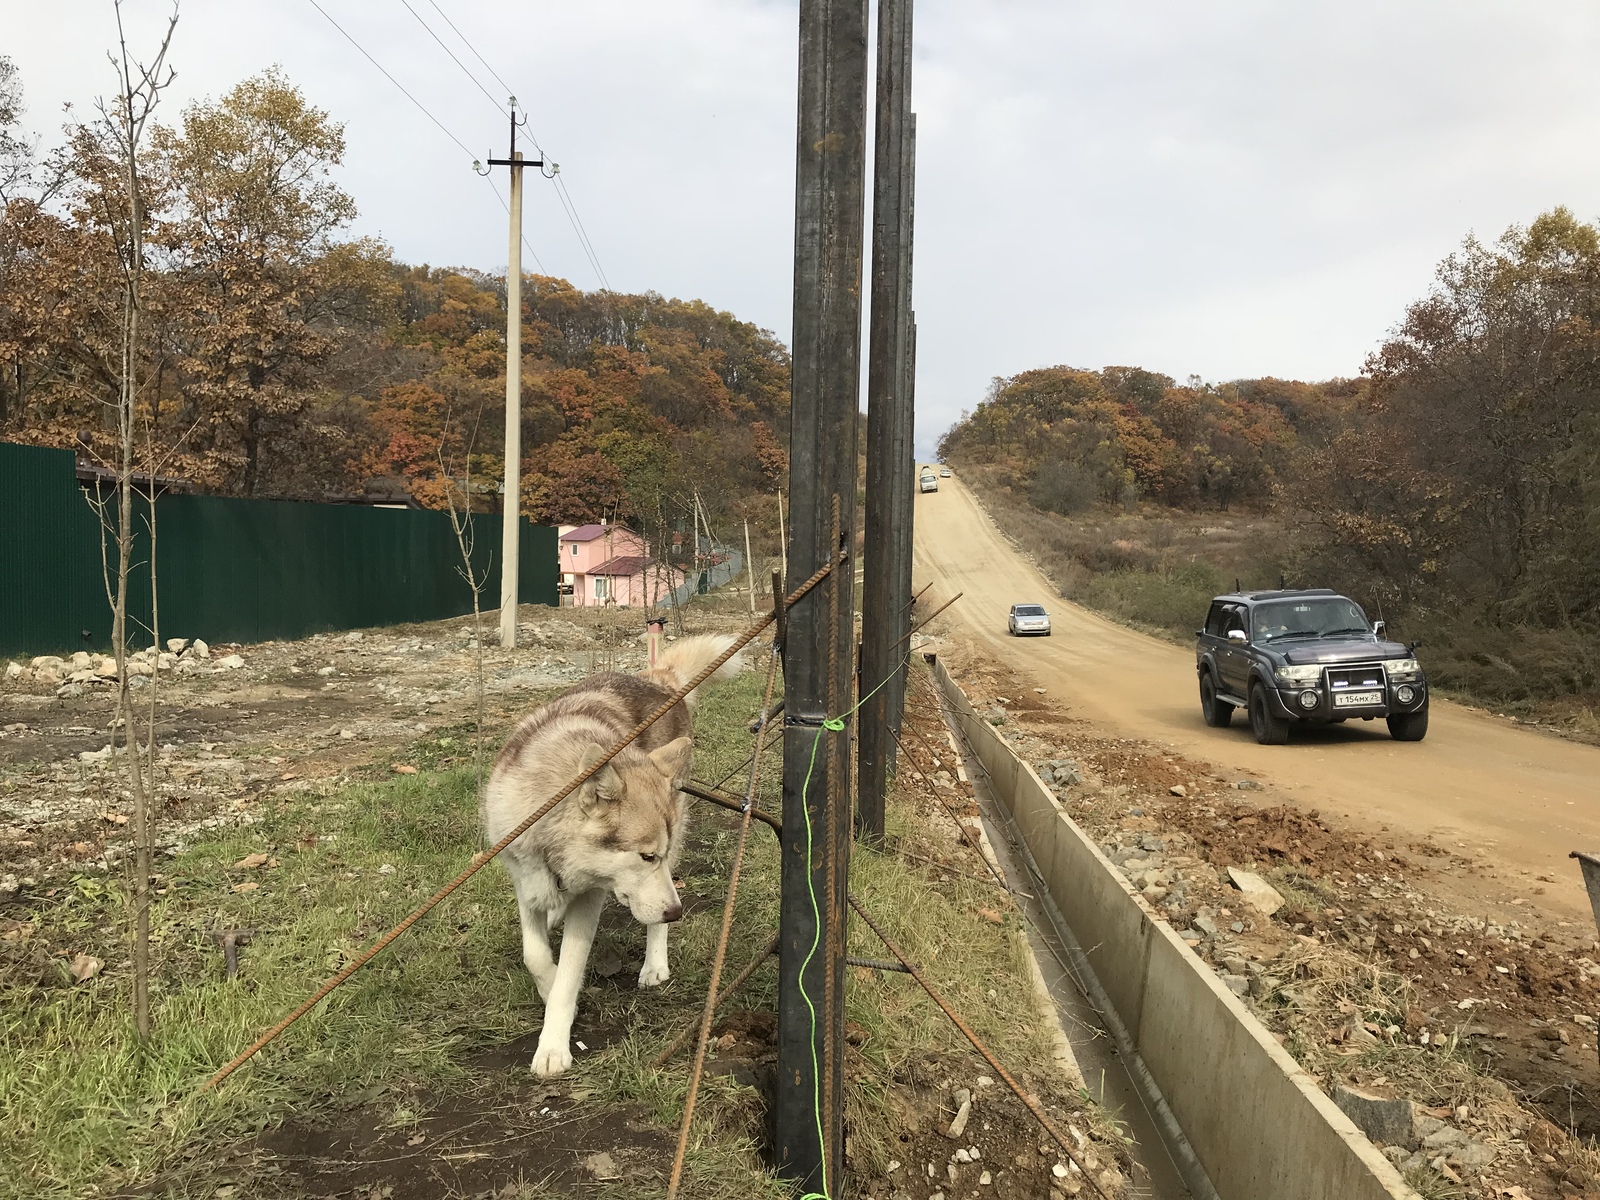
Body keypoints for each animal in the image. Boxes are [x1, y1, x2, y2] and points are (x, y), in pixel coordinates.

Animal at [480, 640, 742, 1081]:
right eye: (646, 856)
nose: (676, 913)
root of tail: (656, 680)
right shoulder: (525, 879)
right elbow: (535, 955)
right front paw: (548, 983)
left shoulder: (591, 898)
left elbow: (569, 974)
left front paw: (553, 1044)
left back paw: (654, 964)